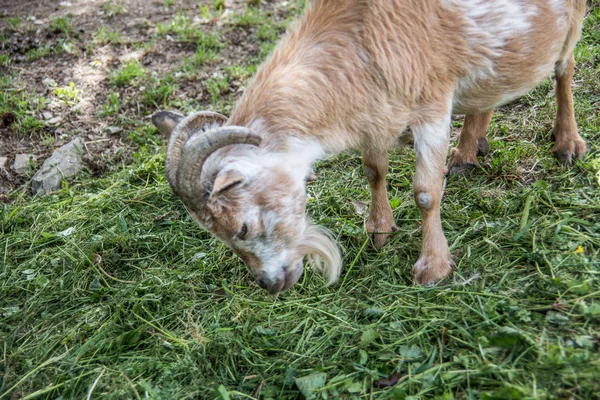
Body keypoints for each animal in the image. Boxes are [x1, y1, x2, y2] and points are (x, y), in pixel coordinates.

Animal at [152, 0, 588, 294]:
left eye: (242, 226)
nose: (270, 284)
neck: (359, 39)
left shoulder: (431, 107)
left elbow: (426, 193)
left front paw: (432, 268)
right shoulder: (375, 115)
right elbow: (373, 170)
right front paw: (379, 231)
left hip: (572, 20)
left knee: (565, 68)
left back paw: (567, 143)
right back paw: (467, 152)